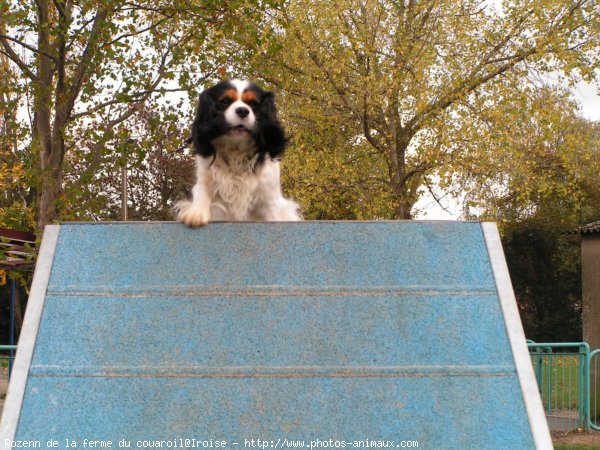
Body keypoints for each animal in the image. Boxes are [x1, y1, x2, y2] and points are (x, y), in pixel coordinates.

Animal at [176, 79, 302, 227]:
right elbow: (201, 191)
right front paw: (196, 213)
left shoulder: (269, 199)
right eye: (225, 101)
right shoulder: (205, 179)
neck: (235, 149)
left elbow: (272, 216)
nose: (242, 110)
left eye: (253, 103)